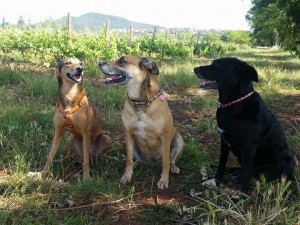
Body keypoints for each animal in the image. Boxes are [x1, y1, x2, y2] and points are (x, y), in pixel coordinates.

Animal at [99, 55, 183, 189]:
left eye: (122, 60)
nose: (99, 63)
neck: (140, 102)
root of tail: (152, 163)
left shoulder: (165, 136)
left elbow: (166, 162)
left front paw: (164, 180)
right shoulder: (128, 133)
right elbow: (128, 159)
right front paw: (127, 175)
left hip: (178, 139)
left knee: (171, 160)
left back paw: (174, 168)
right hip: (133, 145)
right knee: (137, 160)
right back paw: (134, 165)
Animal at [195, 57, 296, 192]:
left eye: (217, 65)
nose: (195, 69)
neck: (234, 103)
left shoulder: (249, 147)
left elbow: (246, 174)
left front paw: (242, 193)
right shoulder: (224, 142)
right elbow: (222, 164)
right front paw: (216, 180)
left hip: (286, 161)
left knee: (269, 176)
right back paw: (235, 172)